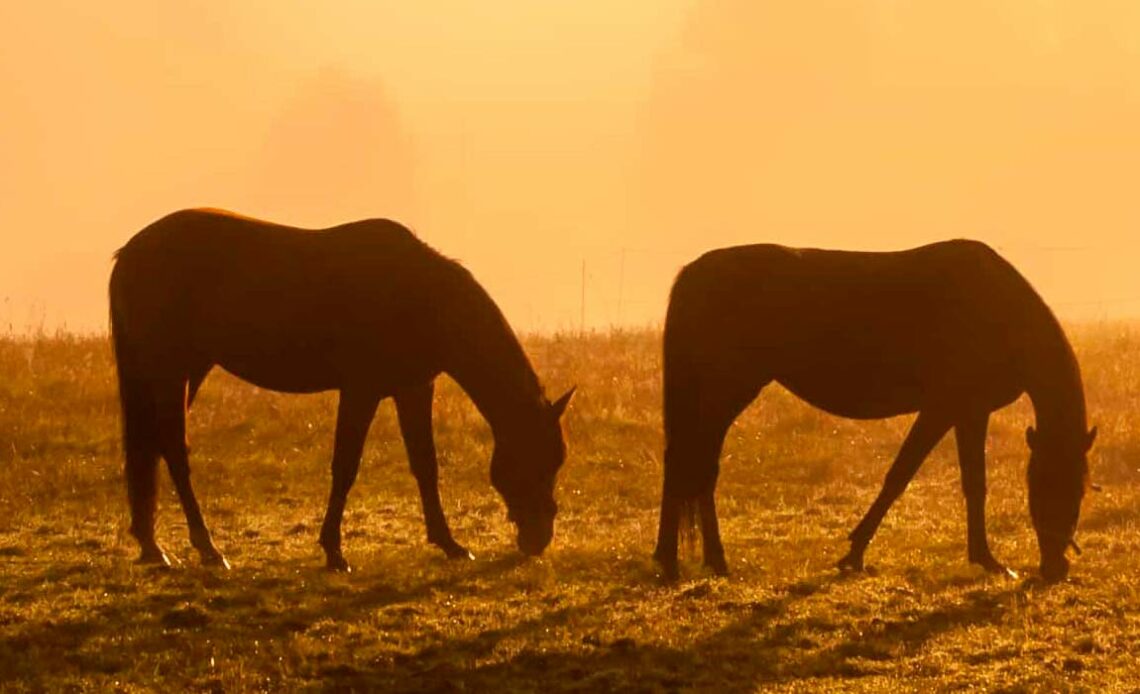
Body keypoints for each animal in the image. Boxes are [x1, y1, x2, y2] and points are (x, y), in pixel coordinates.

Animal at [110, 207, 574, 567]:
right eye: (535, 459)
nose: (538, 539)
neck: (420, 296)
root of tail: (130, 252)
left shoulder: (413, 388)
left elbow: (425, 465)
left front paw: (450, 543)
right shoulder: (361, 390)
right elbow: (346, 466)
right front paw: (334, 551)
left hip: (188, 369)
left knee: (154, 447)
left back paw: (153, 546)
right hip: (171, 371)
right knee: (173, 450)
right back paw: (208, 548)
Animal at [661, 240, 1094, 581]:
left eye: (1080, 489)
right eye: (1046, 485)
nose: (1055, 569)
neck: (999, 310)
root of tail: (694, 273)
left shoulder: (969, 411)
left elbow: (971, 484)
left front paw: (983, 559)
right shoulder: (944, 408)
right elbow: (902, 477)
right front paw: (855, 554)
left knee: (690, 465)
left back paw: (680, 560)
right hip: (726, 392)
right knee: (696, 465)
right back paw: (700, 561)